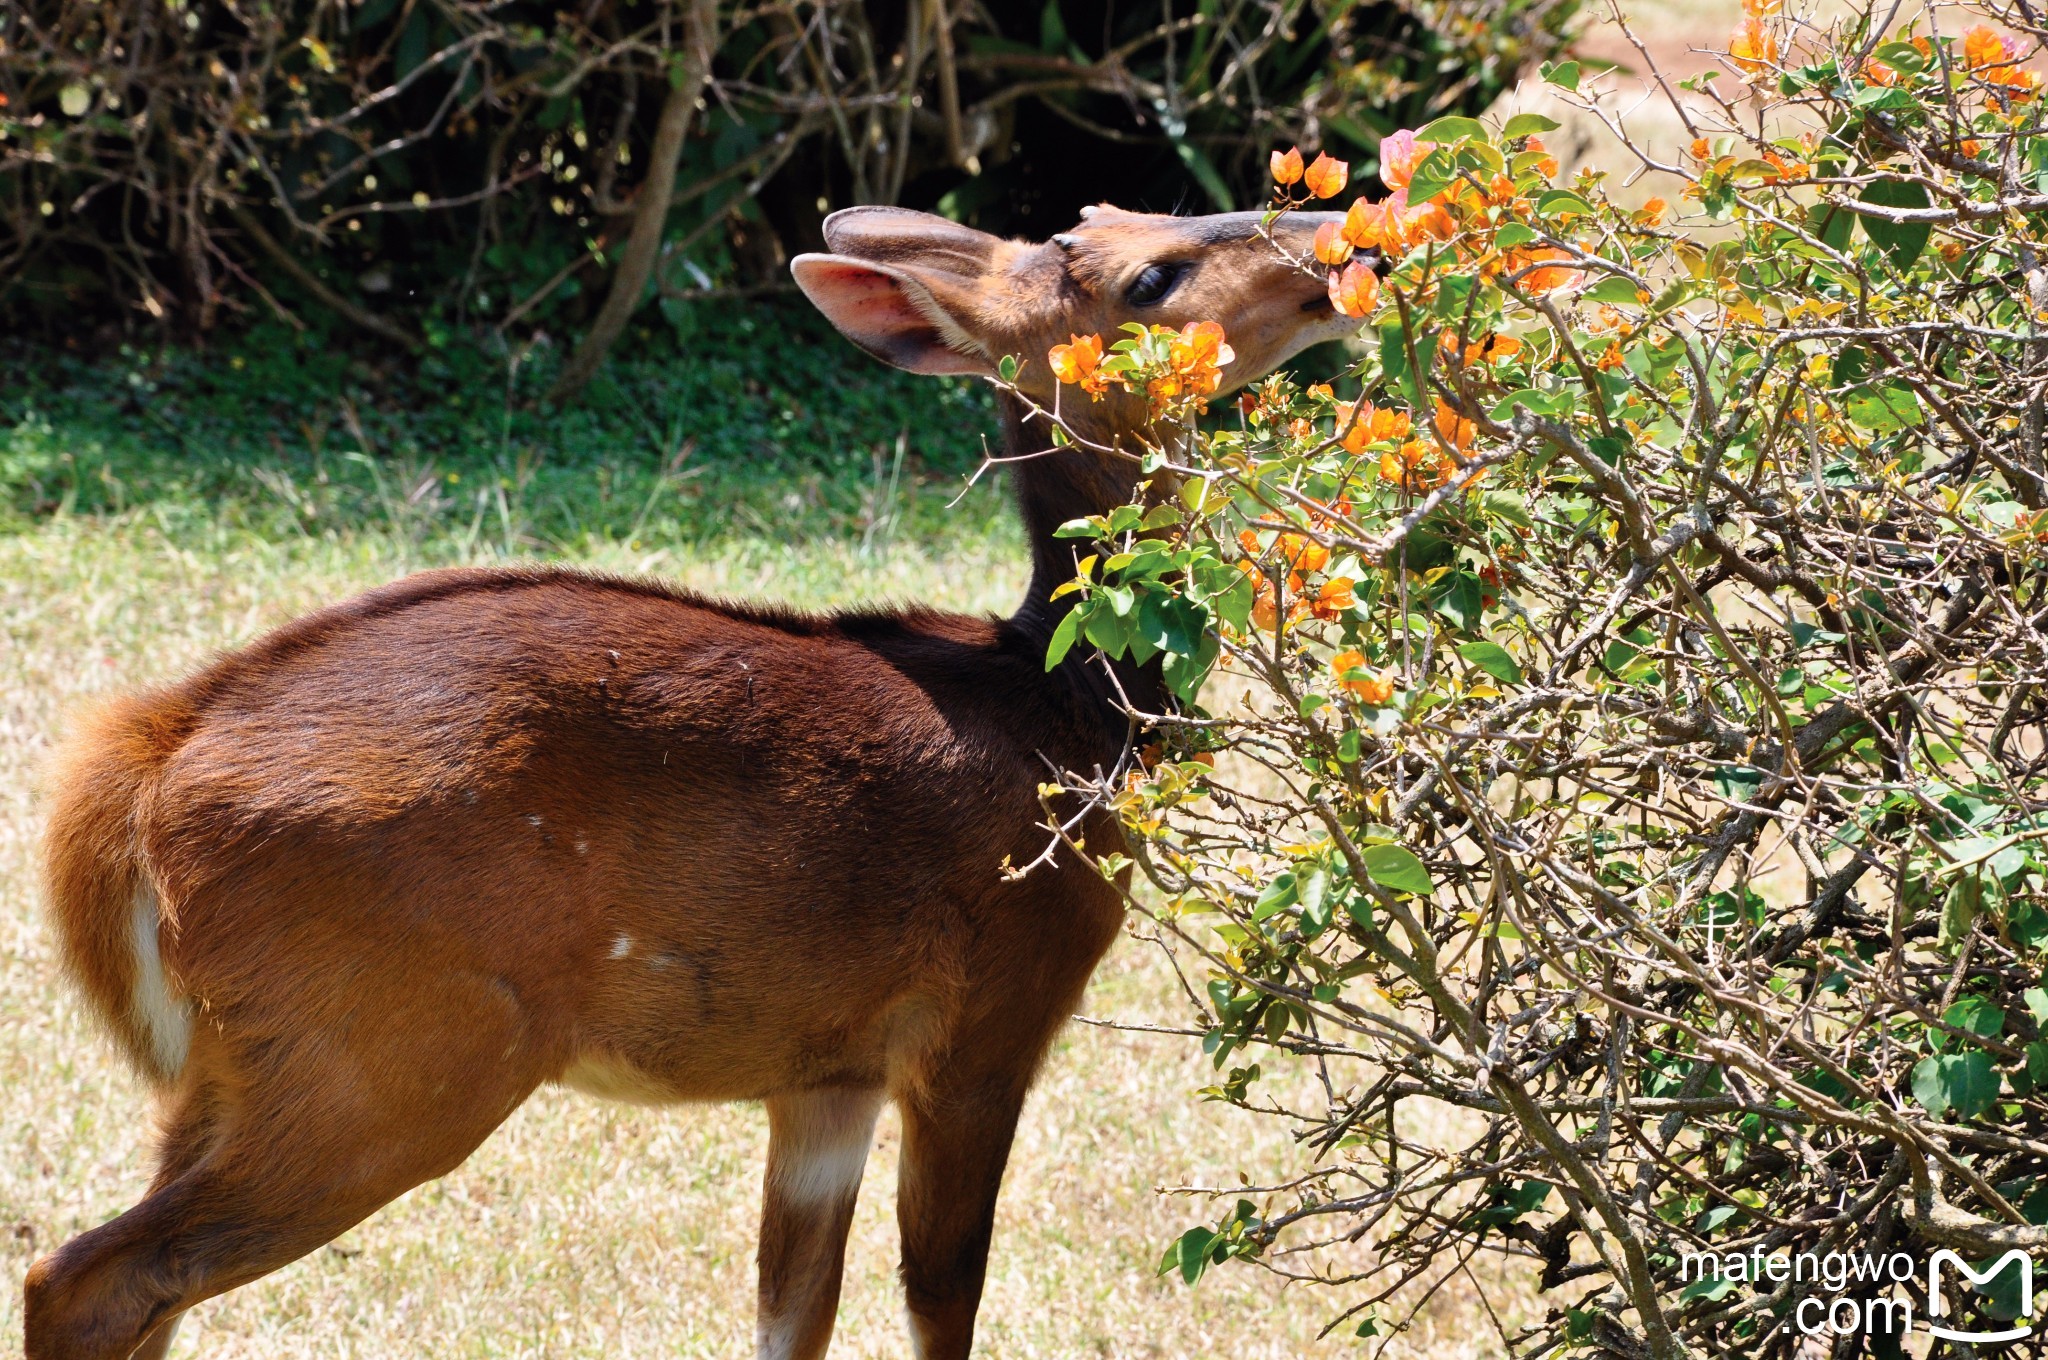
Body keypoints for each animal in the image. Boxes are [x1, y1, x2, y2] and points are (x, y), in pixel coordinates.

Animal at [28, 201, 1359, 1360]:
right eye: (1149, 277)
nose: (1322, 242)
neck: (1062, 716)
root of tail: (149, 753)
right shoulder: (982, 1028)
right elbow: (940, 1295)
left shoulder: (827, 1077)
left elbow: (791, 1312)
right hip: (392, 1062)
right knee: (88, 1276)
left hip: (231, 1071)